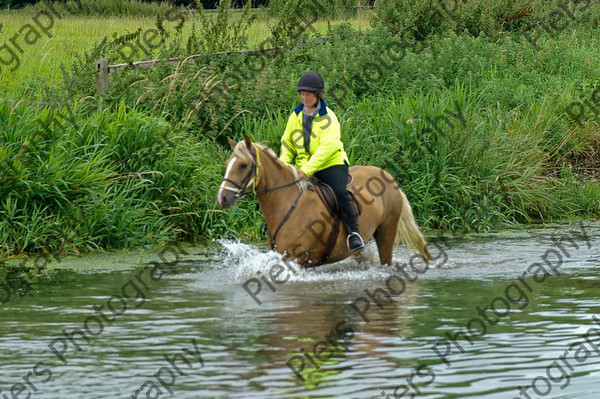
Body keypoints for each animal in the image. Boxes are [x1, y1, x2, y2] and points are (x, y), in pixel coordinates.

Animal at [216, 135, 432, 268]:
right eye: (227, 164)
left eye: (243, 165)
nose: (222, 199)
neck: (287, 202)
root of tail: (387, 176)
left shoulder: (297, 258)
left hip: (386, 232)